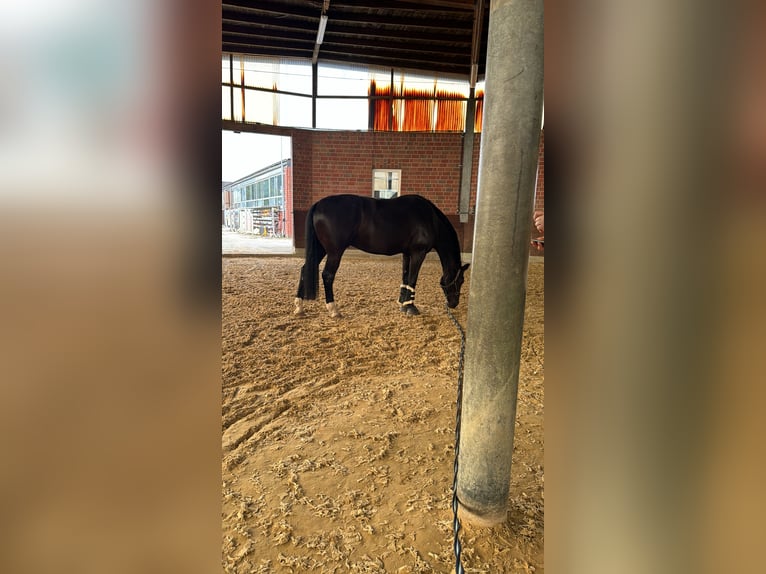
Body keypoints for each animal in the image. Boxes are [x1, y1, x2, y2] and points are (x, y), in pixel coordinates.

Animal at [296, 196, 472, 318]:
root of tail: (318, 204)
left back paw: (298, 306)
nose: (454, 303)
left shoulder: (407, 253)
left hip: (320, 249)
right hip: (334, 252)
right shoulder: (418, 253)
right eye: (461, 280)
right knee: (327, 275)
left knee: (305, 269)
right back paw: (333, 309)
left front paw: (403, 304)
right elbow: (413, 279)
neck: (431, 220)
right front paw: (411, 308)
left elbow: (405, 277)